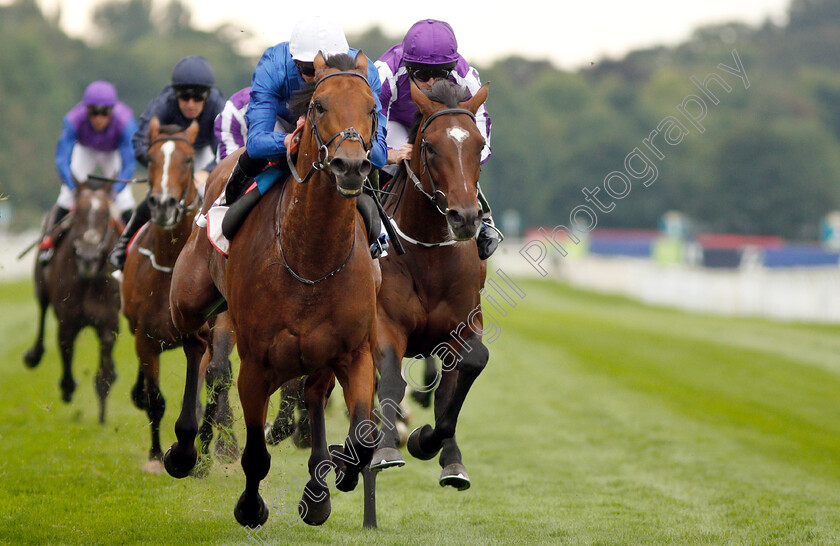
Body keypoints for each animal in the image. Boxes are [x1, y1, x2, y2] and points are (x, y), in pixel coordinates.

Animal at [23, 178, 122, 420]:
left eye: (106, 214)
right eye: (79, 214)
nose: (88, 257)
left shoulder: (108, 323)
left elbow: (104, 375)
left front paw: (103, 417)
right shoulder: (67, 321)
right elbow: (66, 356)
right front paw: (68, 389)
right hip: (40, 285)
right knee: (41, 309)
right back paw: (34, 355)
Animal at [118, 118, 238, 468]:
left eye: (187, 160)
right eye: (150, 159)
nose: (162, 204)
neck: (170, 263)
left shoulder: (212, 330)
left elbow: (214, 378)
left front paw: (206, 449)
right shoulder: (145, 339)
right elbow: (156, 399)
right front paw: (156, 453)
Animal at [165, 52, 380, 528]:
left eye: (373, 107)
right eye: (318, 105)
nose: (351, 165)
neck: (310, 259)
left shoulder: (354, 353)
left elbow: (363, 438)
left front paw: (337, 475)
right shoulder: (257, 364)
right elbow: (255, 455)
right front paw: (250, 506)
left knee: (313, 394)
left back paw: (318, 489)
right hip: (188, 298)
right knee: (195, 345)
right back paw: (185, 449)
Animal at [370, 78, 492, 490]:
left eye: (478, 144)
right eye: (431, 146)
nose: (465, 217)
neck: (430, 258)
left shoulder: (465, 323)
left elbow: (461, 377)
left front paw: (435, 447)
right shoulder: (385, 322)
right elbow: (391, 380)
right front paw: (387, 448)